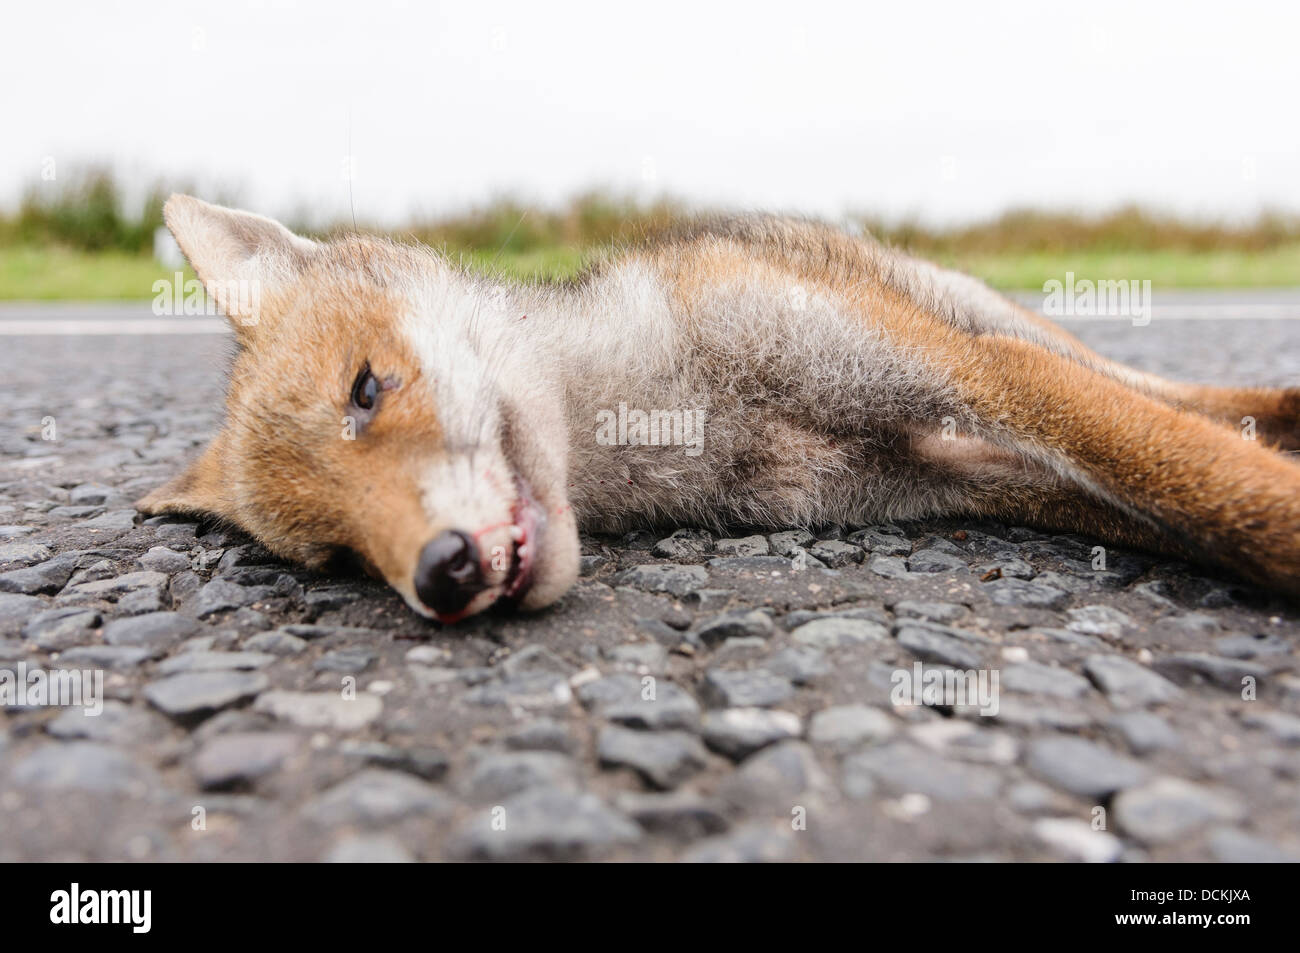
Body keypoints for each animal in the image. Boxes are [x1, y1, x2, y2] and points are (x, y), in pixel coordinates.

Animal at [136, 195, 1300, 623]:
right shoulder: (939, 475)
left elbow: (1199, 473)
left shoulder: (961, 379)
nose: (442, 574)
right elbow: (1188, 507)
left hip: (979, 323)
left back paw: (1278, 400)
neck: (683, 403)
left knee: (1157, 389)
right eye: (335, 555)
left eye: (366, 389)